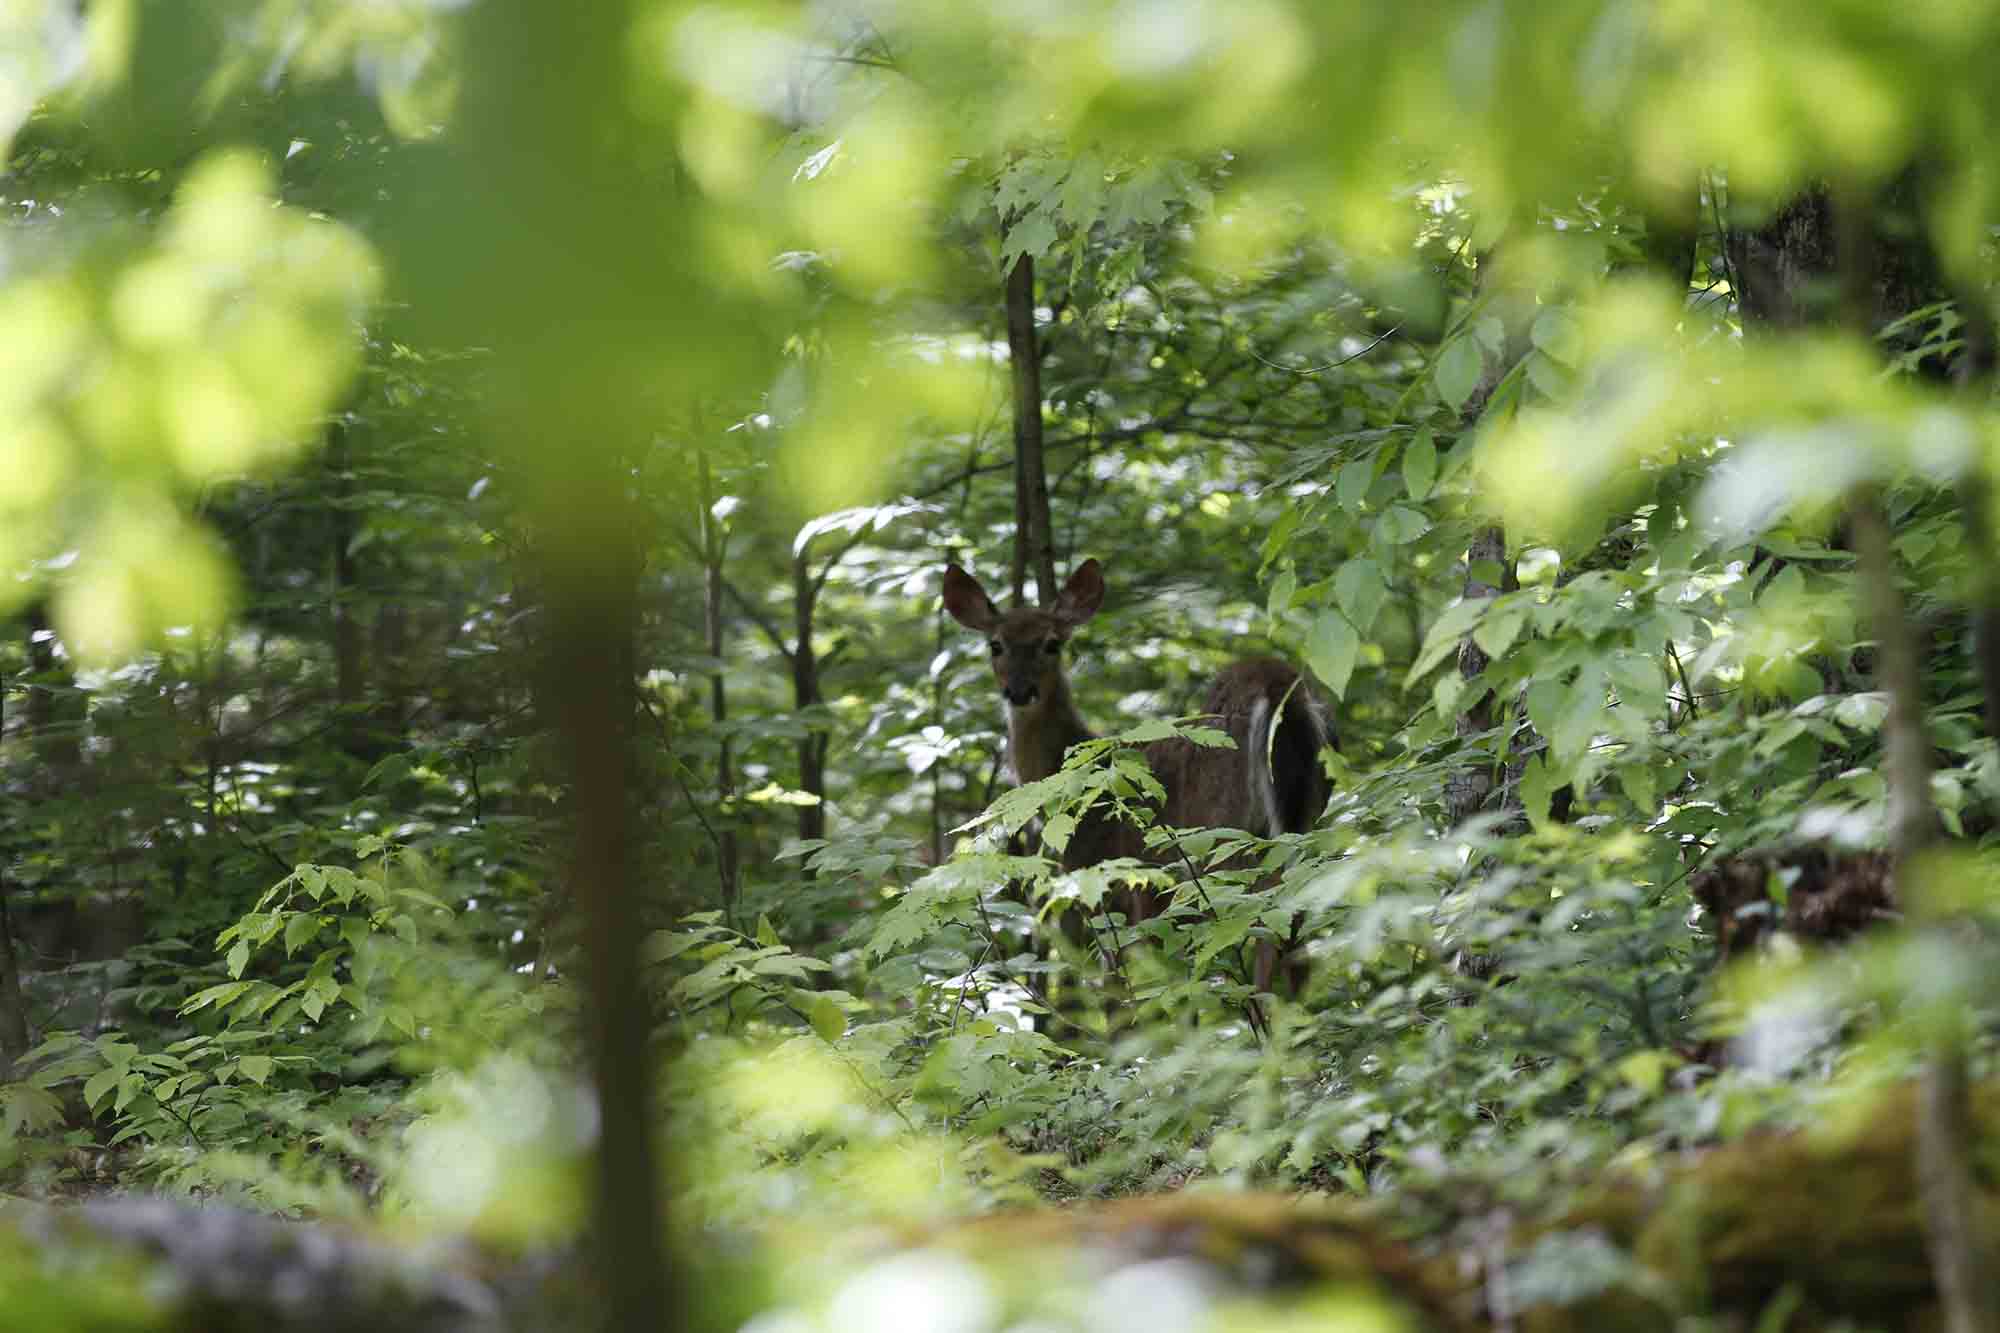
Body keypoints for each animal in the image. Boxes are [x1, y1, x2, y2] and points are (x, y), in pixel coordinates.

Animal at [941, 557, 1332, 994]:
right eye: (996, 645)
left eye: (1051, 643)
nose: (1020, 691)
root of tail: (1276, 684)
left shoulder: (1109, 883)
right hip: (1302, 824)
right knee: (1295, 946)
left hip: (1216, 836)